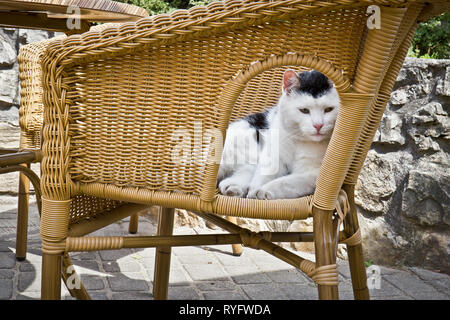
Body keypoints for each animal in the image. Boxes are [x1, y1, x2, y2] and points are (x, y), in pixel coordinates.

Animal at [217, 69, 338, 199]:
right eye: (304, 110)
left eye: (329, 109)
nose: (318, 125)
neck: (299, 143)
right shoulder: (273, 155)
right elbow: (266, 173)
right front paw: (255, 189)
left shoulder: (312, 173)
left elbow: (286, 182)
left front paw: (263, 190)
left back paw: (232, 188)